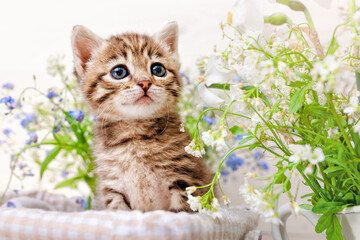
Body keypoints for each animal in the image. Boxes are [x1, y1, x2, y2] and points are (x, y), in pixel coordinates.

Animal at [71, 23, 214, 212]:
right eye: (119, 72)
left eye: (158, 69)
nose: (145, 82)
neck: (136, 136)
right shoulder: (112, 186)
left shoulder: (187, 179)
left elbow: (181, 211)